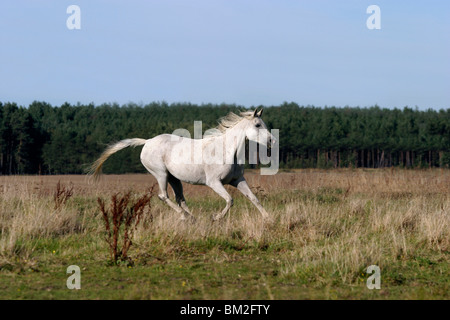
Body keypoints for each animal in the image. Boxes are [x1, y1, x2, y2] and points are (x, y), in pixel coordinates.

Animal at [89, 109, 274, 221]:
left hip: (174, 178)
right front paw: (215, 218)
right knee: (164, 196)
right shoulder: (214, 182)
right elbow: (230, 200)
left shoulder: (237, 180)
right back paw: (185, 217)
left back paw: (192, 218)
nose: (272, 141)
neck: (227, 150)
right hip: (161, 174)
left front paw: (268, 218)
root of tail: (147, 141)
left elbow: (254, 198)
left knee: (180, 199)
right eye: (258, 125)